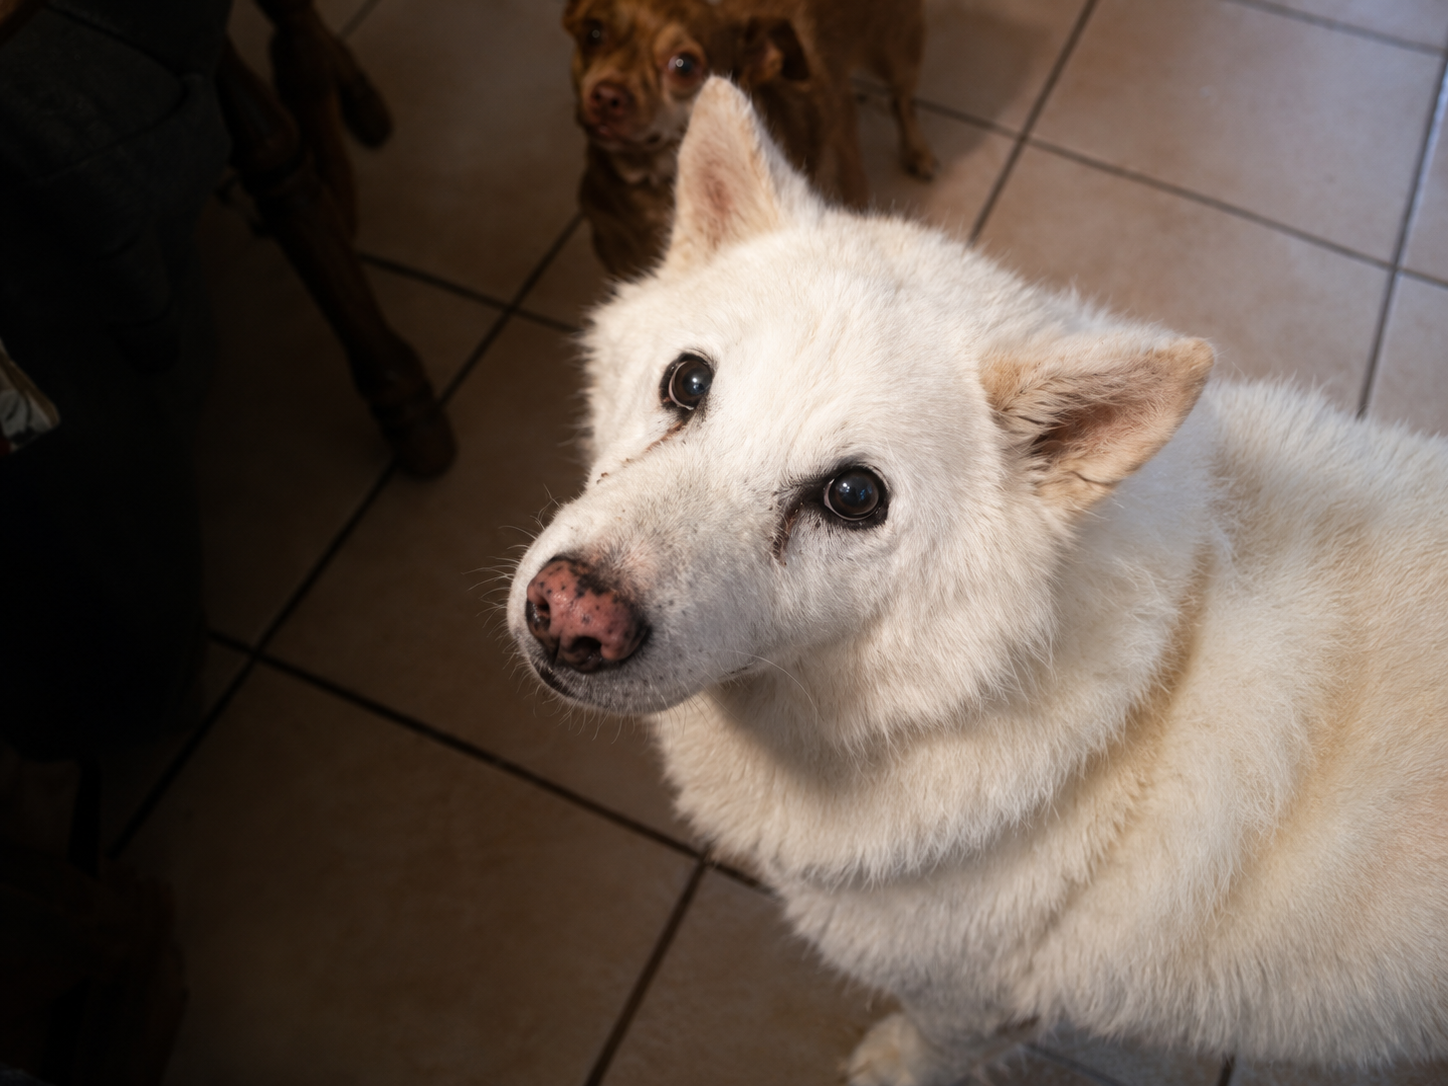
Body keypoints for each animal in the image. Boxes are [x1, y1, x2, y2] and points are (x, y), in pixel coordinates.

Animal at [508, 78, 1448, 1083]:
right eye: (687, 383)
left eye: (853, 496)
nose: (572, 614)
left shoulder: (974, 1005)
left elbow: (930, 1046)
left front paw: (888, 1064)